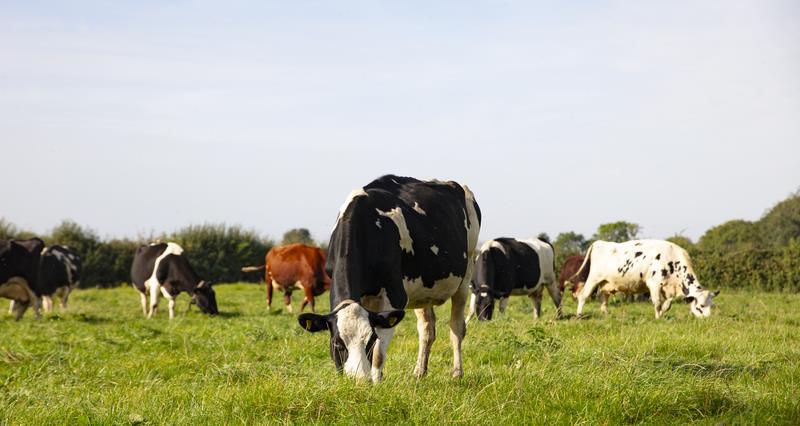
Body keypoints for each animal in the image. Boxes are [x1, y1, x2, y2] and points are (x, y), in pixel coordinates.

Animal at [297, 175, 481, 383]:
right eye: (337, 343)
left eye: (370, 340)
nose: (359, 381)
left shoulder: (395, 296)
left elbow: (378, 353)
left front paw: (377, 381)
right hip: (422, 289)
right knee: (426, 330)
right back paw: (419, 372)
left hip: (465, 277)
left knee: (456, 328)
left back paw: (457, 373)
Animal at [573, 239, 719, 318]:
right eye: (701, 306)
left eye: (711, 305)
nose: (707, 319)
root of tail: (600, 243)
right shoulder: (654, 284)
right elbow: (657, 302)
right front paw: (658, 317)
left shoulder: (668, 288)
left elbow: (668, 304)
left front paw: (662, 313)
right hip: (593, 279)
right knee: (583, 296)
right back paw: (579, 315)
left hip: (607, 284)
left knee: (603, 300)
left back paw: (608, 316)